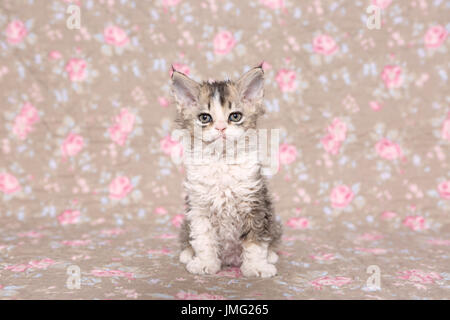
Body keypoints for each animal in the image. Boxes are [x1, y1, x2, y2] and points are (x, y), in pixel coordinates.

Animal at [171, 65, 282, 278]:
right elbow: (203, 239)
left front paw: (256, 266)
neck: (221, 161)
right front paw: (205, 263)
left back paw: (271, 255)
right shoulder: (199, 208)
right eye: (205, 118)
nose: (221, 128)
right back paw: (187, 254)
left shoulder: (255, 204)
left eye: (235, 116)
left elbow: (255, 241)